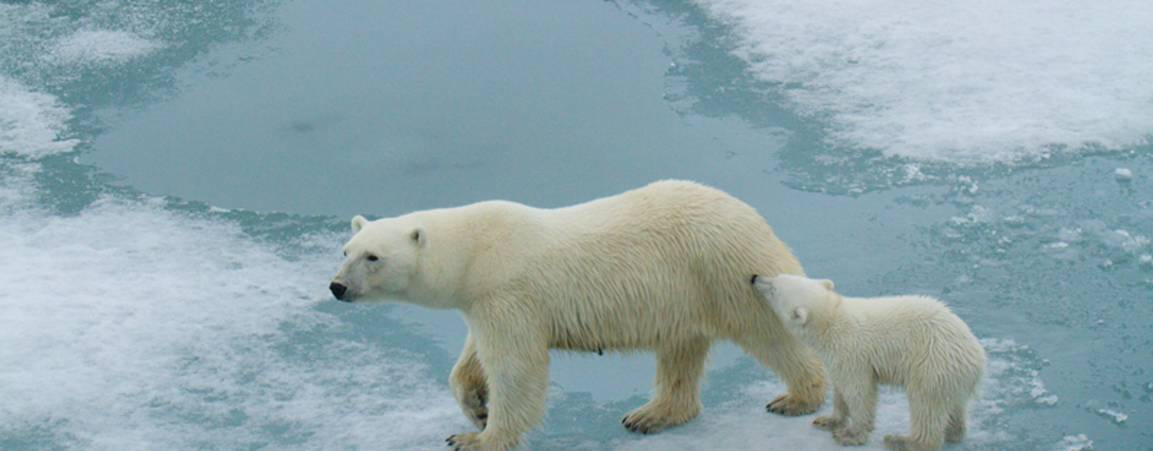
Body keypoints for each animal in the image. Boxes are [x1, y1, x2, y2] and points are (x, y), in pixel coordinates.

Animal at [329, 181, 825, 451]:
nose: (337, 287)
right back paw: (651, 414)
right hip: (686, 292)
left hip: (725, 269)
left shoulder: (508, 292)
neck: (476, 251)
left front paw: (475, 438)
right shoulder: (486, 300)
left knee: (771, 331)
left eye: (373, 257)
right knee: (679, 351)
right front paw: (477, 407)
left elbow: (517, 367)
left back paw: (798, 397)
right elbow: (473, 358)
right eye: (345, 250)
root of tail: (752, 215)